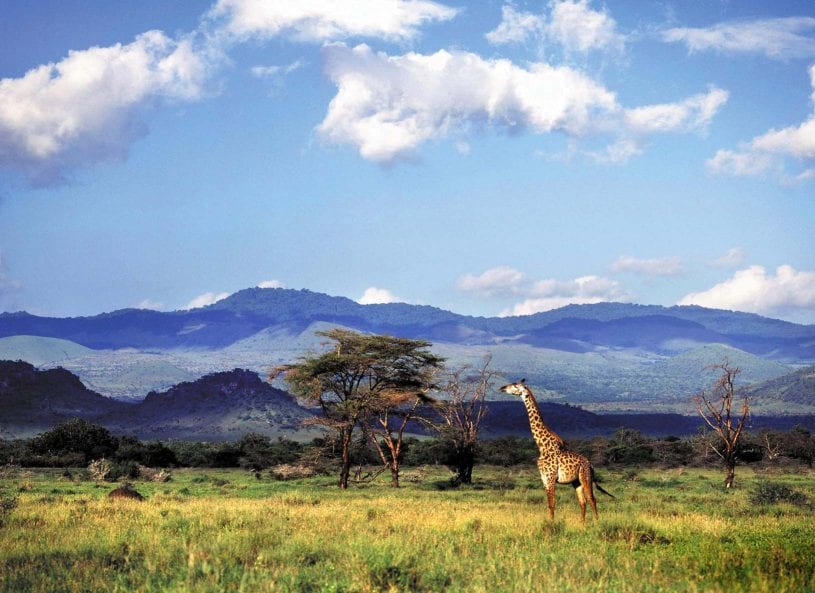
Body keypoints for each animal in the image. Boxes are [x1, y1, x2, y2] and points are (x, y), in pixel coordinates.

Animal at [500, 380, 616, 524]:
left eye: (515, 385)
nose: (502, 388)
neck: (542, 446)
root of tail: (591, 465)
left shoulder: (550, 478)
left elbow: (552, 503)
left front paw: (551, 524)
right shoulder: (544, 478)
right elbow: (550, 503)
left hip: (585, 477)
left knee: (592, 499)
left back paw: (596, 523)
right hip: (576, 482)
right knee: (582, 501)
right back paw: (582, 524)